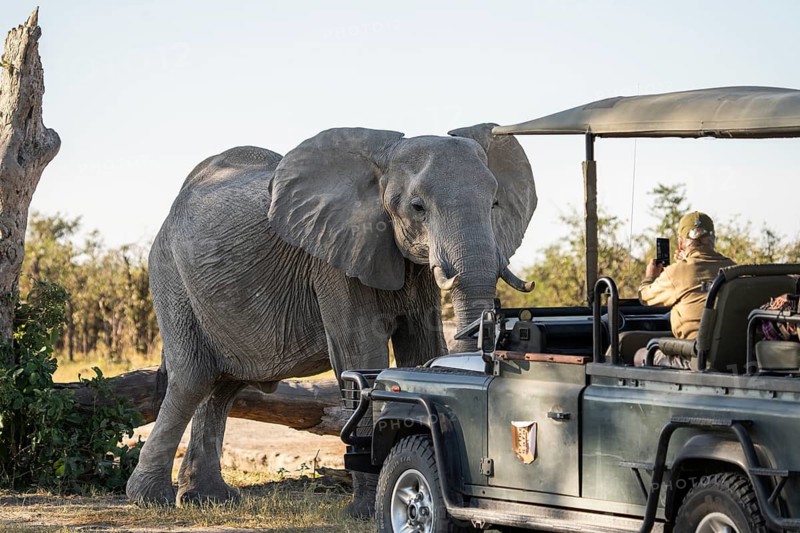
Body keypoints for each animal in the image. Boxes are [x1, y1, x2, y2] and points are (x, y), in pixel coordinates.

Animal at [125, 123, 537, 510]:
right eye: (418, 207)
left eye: (495, 203)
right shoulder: (333, 260)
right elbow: (362, 353)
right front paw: (366, 510)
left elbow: (422, 347)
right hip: (170, 275)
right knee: (193, 378)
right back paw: (151, 498)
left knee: (221, 386)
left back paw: (208, 499)